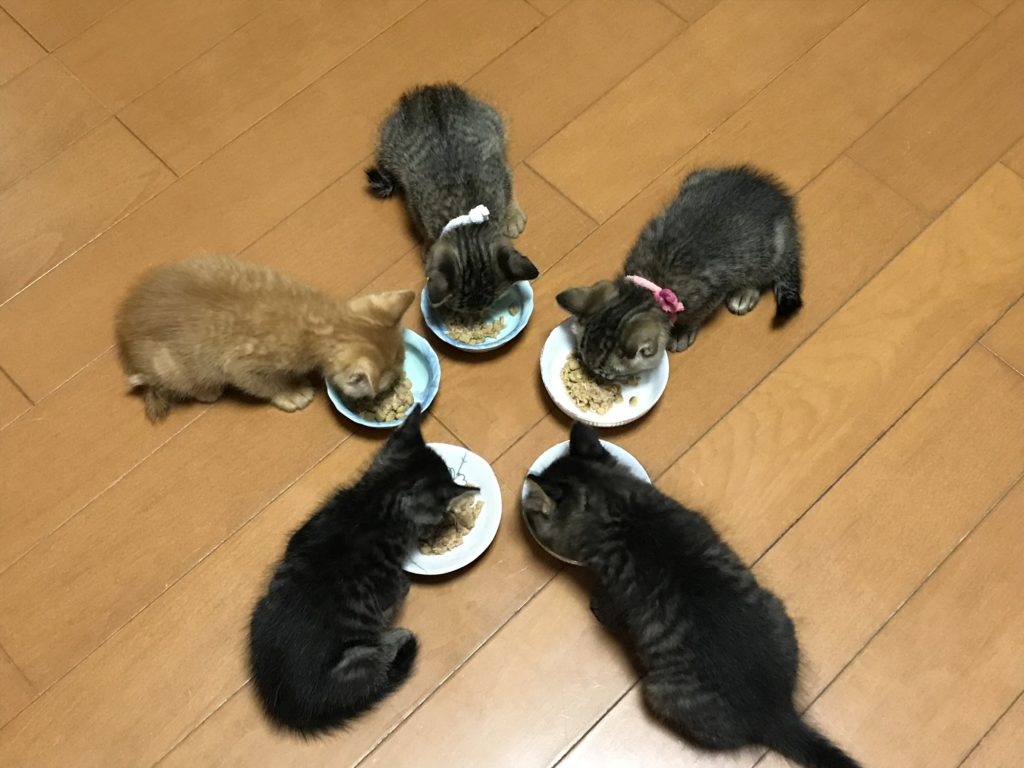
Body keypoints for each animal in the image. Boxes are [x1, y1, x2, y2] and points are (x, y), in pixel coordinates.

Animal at [115, 255, 414, 422]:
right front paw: (291, 393)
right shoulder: (242, 364)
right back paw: (207, 391)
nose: (390, 391)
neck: (321, 321)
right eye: (384, 388)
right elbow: (264, 384)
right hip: (174, 368)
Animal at [249, 405, 477, 734]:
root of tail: (295, 708)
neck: (376, 503)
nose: (445, 519)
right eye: (441, 512)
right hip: (361, 655)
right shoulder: (392, 587)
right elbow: (400, 591)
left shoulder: (304, 532)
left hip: (260, 609)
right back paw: (397, 636)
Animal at [366, 83, 539, 312]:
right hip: (389, 145)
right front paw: (428, 244)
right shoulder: (415, 200)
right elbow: (421, 227)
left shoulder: (500, 171)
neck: (466, 208)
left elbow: (509, 189)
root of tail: (429, 91)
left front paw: (511, 215)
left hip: (493, 123)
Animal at [522, 423, 860, 768]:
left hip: (659, 692)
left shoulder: (616, 597)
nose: (524, 502)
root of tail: (778, 713)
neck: (620, 512)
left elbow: (607, 610)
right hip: (779, 612)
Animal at [556, 166, 802, 380]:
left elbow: (693, 317)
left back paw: (745, 293)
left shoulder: (709, 295)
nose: (595, 379)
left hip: (767, 252)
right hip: (695, 178)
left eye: (607, 375)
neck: (652, 285)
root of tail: (781, 201)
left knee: (765, 273)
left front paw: (680, 333)